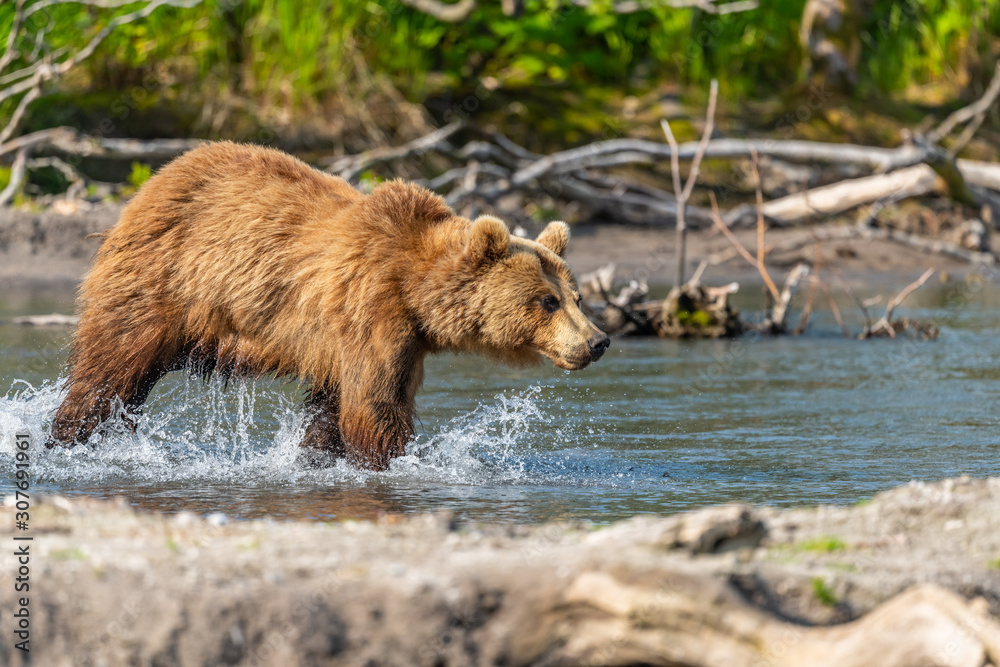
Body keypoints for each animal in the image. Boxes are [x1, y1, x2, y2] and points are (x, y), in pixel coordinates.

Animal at [47, 141, 610, 470]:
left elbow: (334, 409)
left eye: (577, 296)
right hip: (161, 281)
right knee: (111, 368)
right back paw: (69, 437)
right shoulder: (370, 313)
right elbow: (373, 408)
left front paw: (317, 458)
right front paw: (391, 460)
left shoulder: (393, 345)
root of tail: (150, 183)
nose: (598, 341)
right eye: (546, 300)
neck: (415, 289)